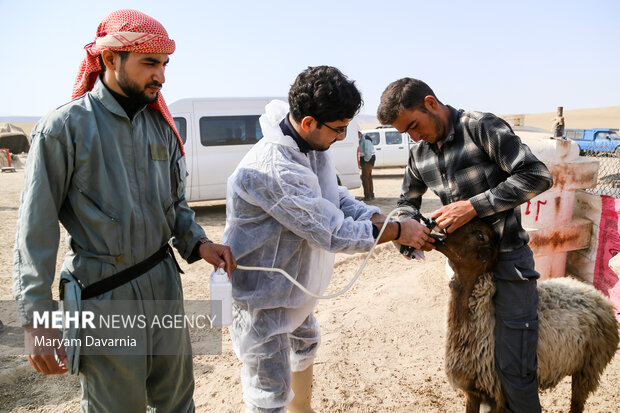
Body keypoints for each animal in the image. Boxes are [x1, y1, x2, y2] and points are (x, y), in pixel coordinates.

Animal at [432, 217, 620, 410]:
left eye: (480, 235)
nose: (437, 225)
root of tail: (597, 294)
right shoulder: (472, 392)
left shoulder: (500, 396)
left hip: (589, 367)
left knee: (577, 403)